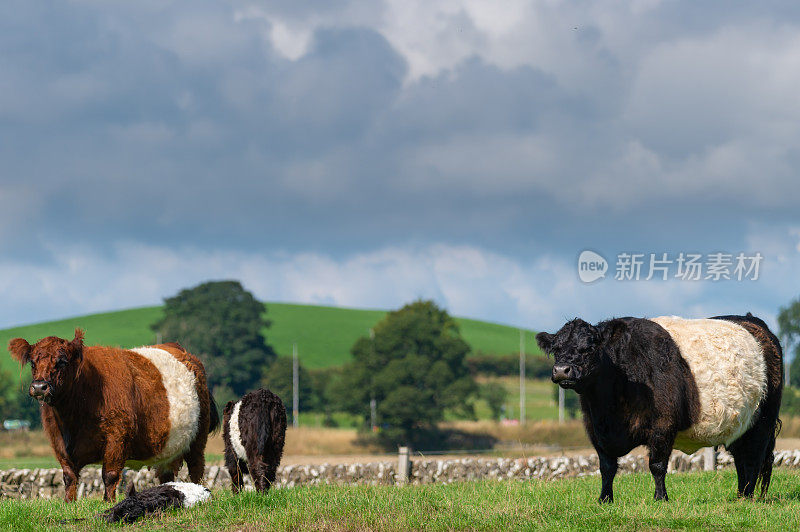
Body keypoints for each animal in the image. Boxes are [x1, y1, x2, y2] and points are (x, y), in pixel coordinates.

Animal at [536, 314, 780, 504]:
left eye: (589, 348)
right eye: (556, 349)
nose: (561, 370)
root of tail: (752, 321)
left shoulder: (662, 426)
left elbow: (657, 465)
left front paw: (660, 498)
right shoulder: (594, 429)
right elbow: (606, 467)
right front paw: (605, 500)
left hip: (763, 423)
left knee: (753, 459)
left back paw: (747, 498)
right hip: (741, 426)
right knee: (741, 459)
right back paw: (740, 496)